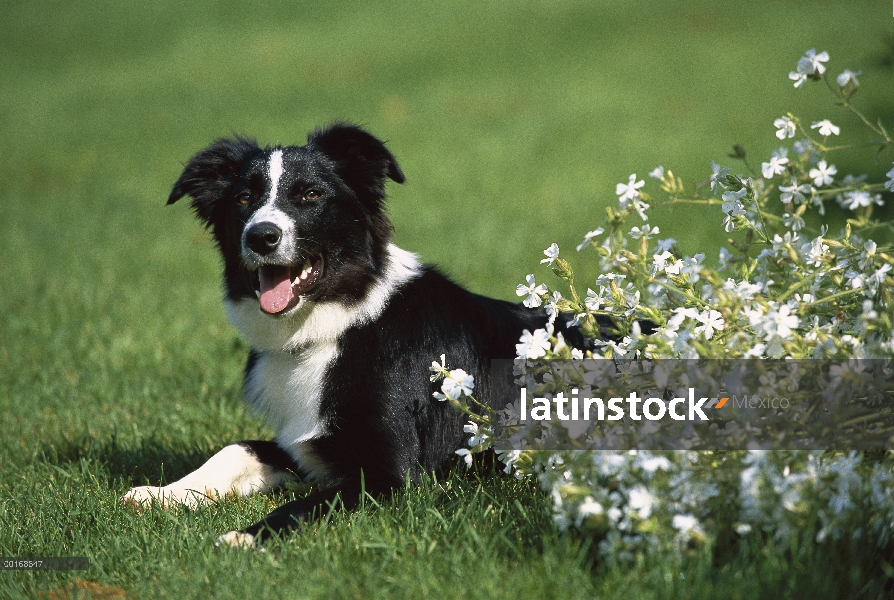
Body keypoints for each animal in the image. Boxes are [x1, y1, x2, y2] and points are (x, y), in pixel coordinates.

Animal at [122, 124, 572, 548]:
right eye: (244, 199)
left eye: (310, 194)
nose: (261, 236)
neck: (334, 327)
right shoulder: (304, 444)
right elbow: (237, 448)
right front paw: (161, 493)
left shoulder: (390, 476)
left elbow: (301, 505)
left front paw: (248, 536)